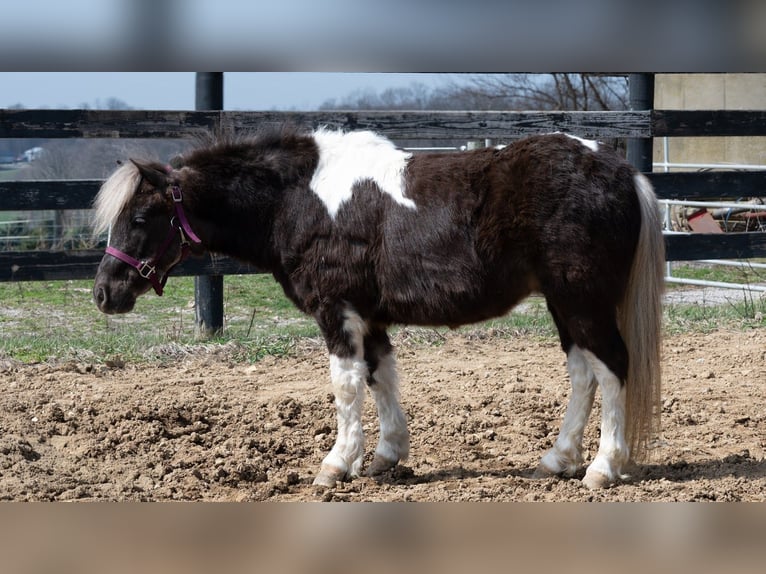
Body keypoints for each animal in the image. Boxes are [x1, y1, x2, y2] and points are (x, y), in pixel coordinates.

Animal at [92, 126, 664, 489]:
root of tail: (621, 170)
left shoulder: (337, 311)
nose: (104, 293)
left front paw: (336, 465)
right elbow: (379, 376)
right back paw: (559, 459)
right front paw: (386, 456)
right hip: (566, 305)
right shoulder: (369, 315)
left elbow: (346, 385)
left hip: (583, 301)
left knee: (612, 368)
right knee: (583, 373)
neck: (296, 200)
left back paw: (602, 468)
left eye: (140, 218)